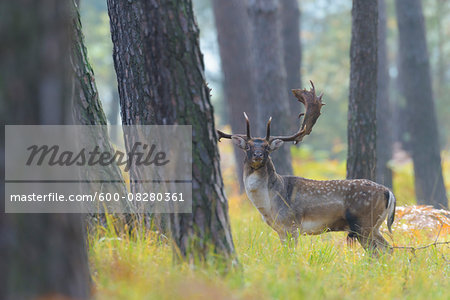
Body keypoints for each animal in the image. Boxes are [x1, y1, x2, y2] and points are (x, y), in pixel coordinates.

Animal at [218, 81, 398, 253]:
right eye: (248, 147)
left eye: (267, 147)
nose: (258, 155)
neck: (268, 205)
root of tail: (389, 192)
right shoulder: (280, 230)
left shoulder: (291, 224)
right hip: (373, 226)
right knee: (387, 249)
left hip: (364, 223)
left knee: (379, 251)